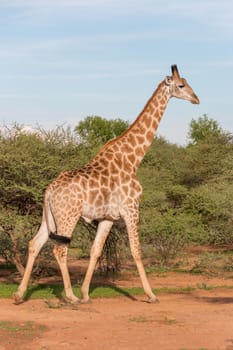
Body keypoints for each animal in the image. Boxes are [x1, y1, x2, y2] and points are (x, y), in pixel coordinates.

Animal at [13, 65, 199, 304]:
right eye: (181, 85)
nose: (196, 99)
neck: (133, 159)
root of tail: (48, 191)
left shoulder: (108, 217)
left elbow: (96, 250)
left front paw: (85, 293)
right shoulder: (131, 208)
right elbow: (136, 250)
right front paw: (151, 295)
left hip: (49, 217)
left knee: (34, 244)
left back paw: (20, 294)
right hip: (68, 216)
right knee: (59, 250)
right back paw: (70, 296)